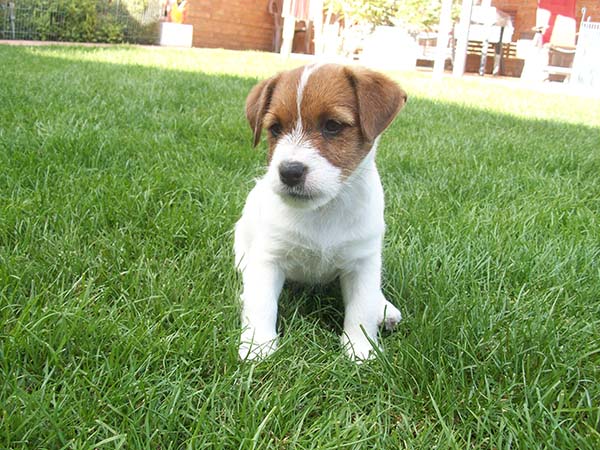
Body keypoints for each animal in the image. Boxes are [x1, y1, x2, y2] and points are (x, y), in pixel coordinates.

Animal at [234, 63, 407, 361]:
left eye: (332, 126)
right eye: (275, 129)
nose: (289, 171)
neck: (323, 210)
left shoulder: (363, 261)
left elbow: (361, 308)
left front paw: (360, 350)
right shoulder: (268, 257)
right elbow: (262, 304)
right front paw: (258, 347)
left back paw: (384, 308)